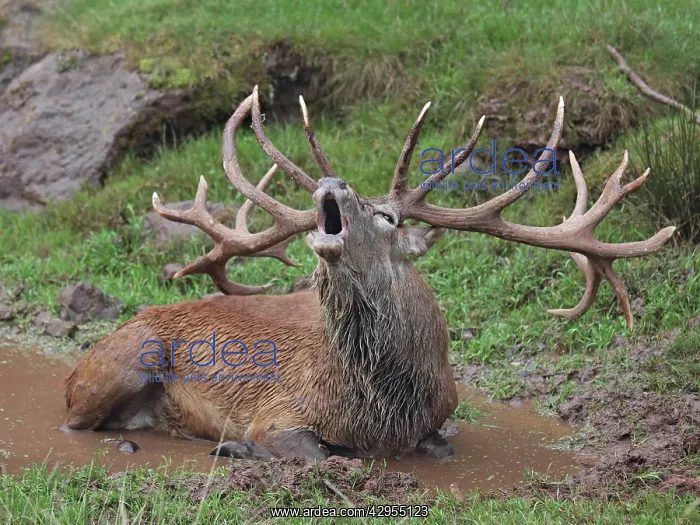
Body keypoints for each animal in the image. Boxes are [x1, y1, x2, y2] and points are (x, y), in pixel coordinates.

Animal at [63, 86, 676, 462]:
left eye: (388, 217)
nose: (329, 183)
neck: (384, 406)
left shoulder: (438, 421)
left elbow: (443, 448)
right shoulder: (277, 413)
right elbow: (312, 454)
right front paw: (237, 448)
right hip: (118, 365)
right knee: (76, 423)